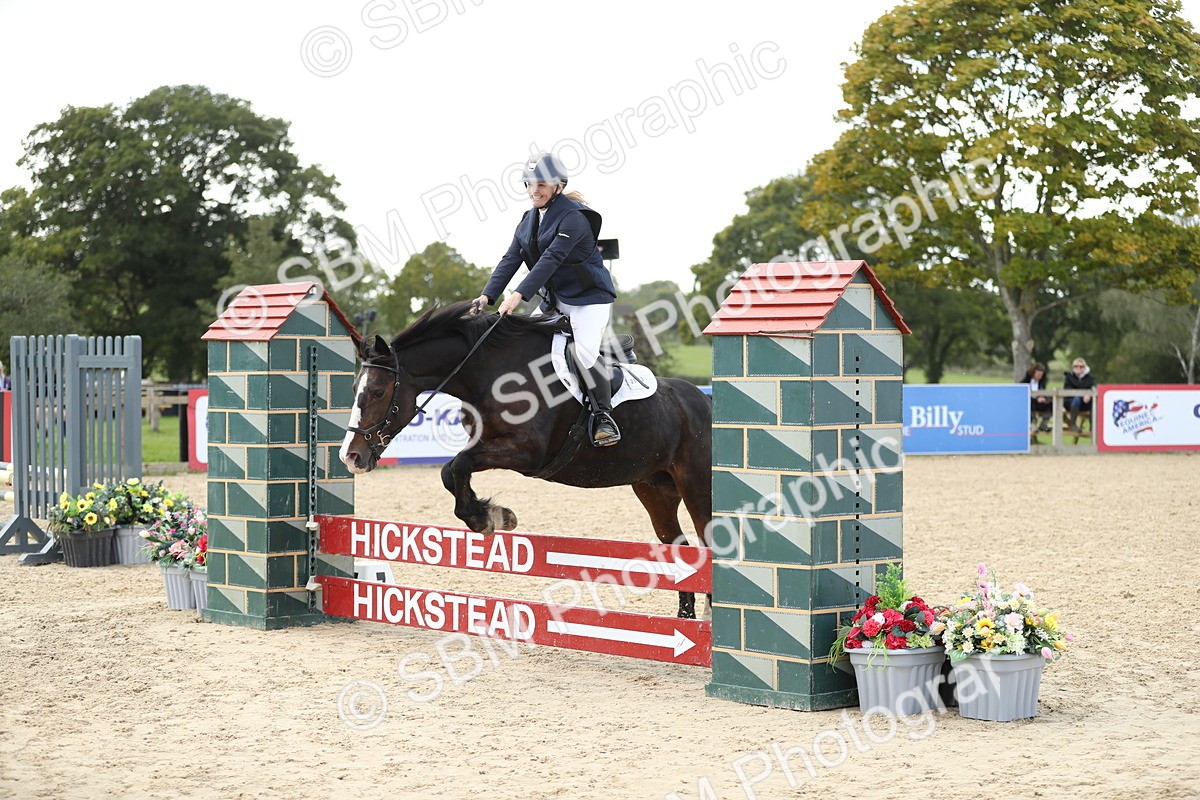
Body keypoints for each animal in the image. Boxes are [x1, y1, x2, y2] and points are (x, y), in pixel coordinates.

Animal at [338, 301, 713, 619]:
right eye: (355, 389)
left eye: (377, 392)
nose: (351, 456)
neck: (490, 371)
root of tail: (706, 400)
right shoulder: (488, 444)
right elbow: (451, 470)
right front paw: (490, 513)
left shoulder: (525, 451)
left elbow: (457, 465)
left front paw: (486, 518)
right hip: (654, 489)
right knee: (679, 546)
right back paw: (686, 618)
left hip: (697, 487)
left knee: (708, 539)